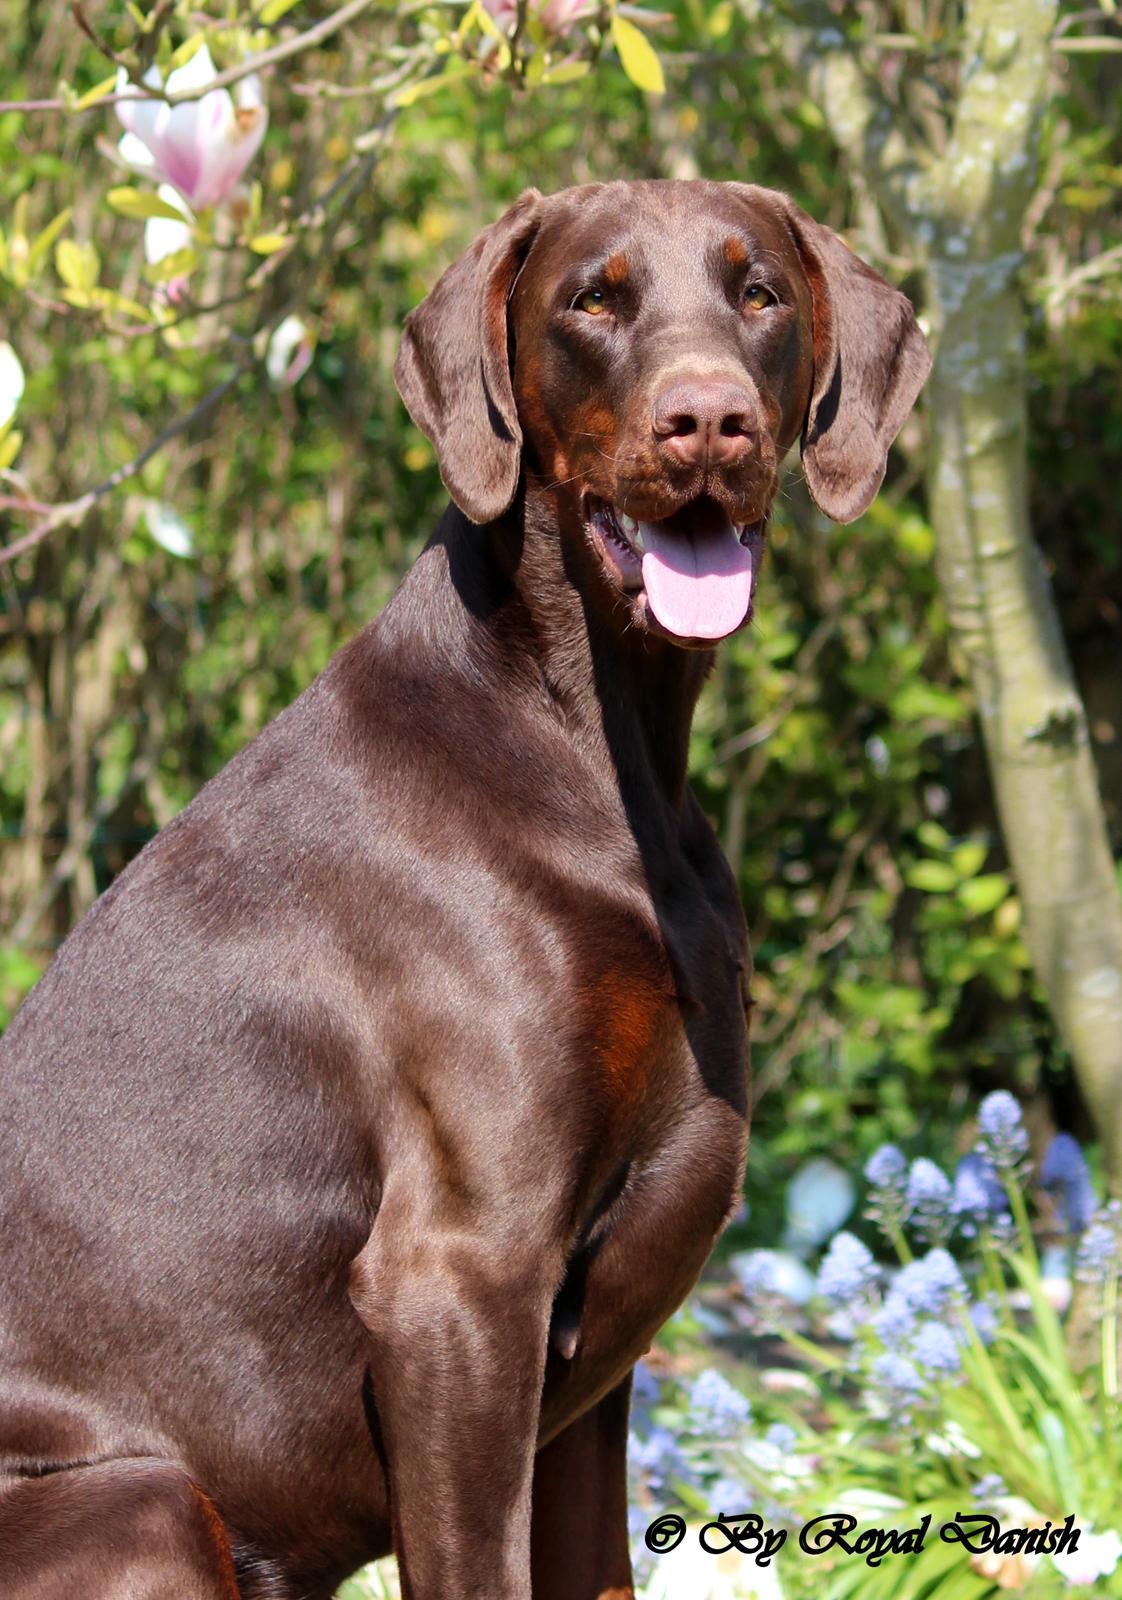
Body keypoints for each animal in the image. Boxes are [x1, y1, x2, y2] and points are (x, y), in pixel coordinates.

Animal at [0, 181, 928, 1593]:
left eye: (759, 292)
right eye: (593, 299)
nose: (709, 422)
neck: (598, 742)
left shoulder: (586, 1374)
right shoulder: (459, 1278)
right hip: (138, 1501)